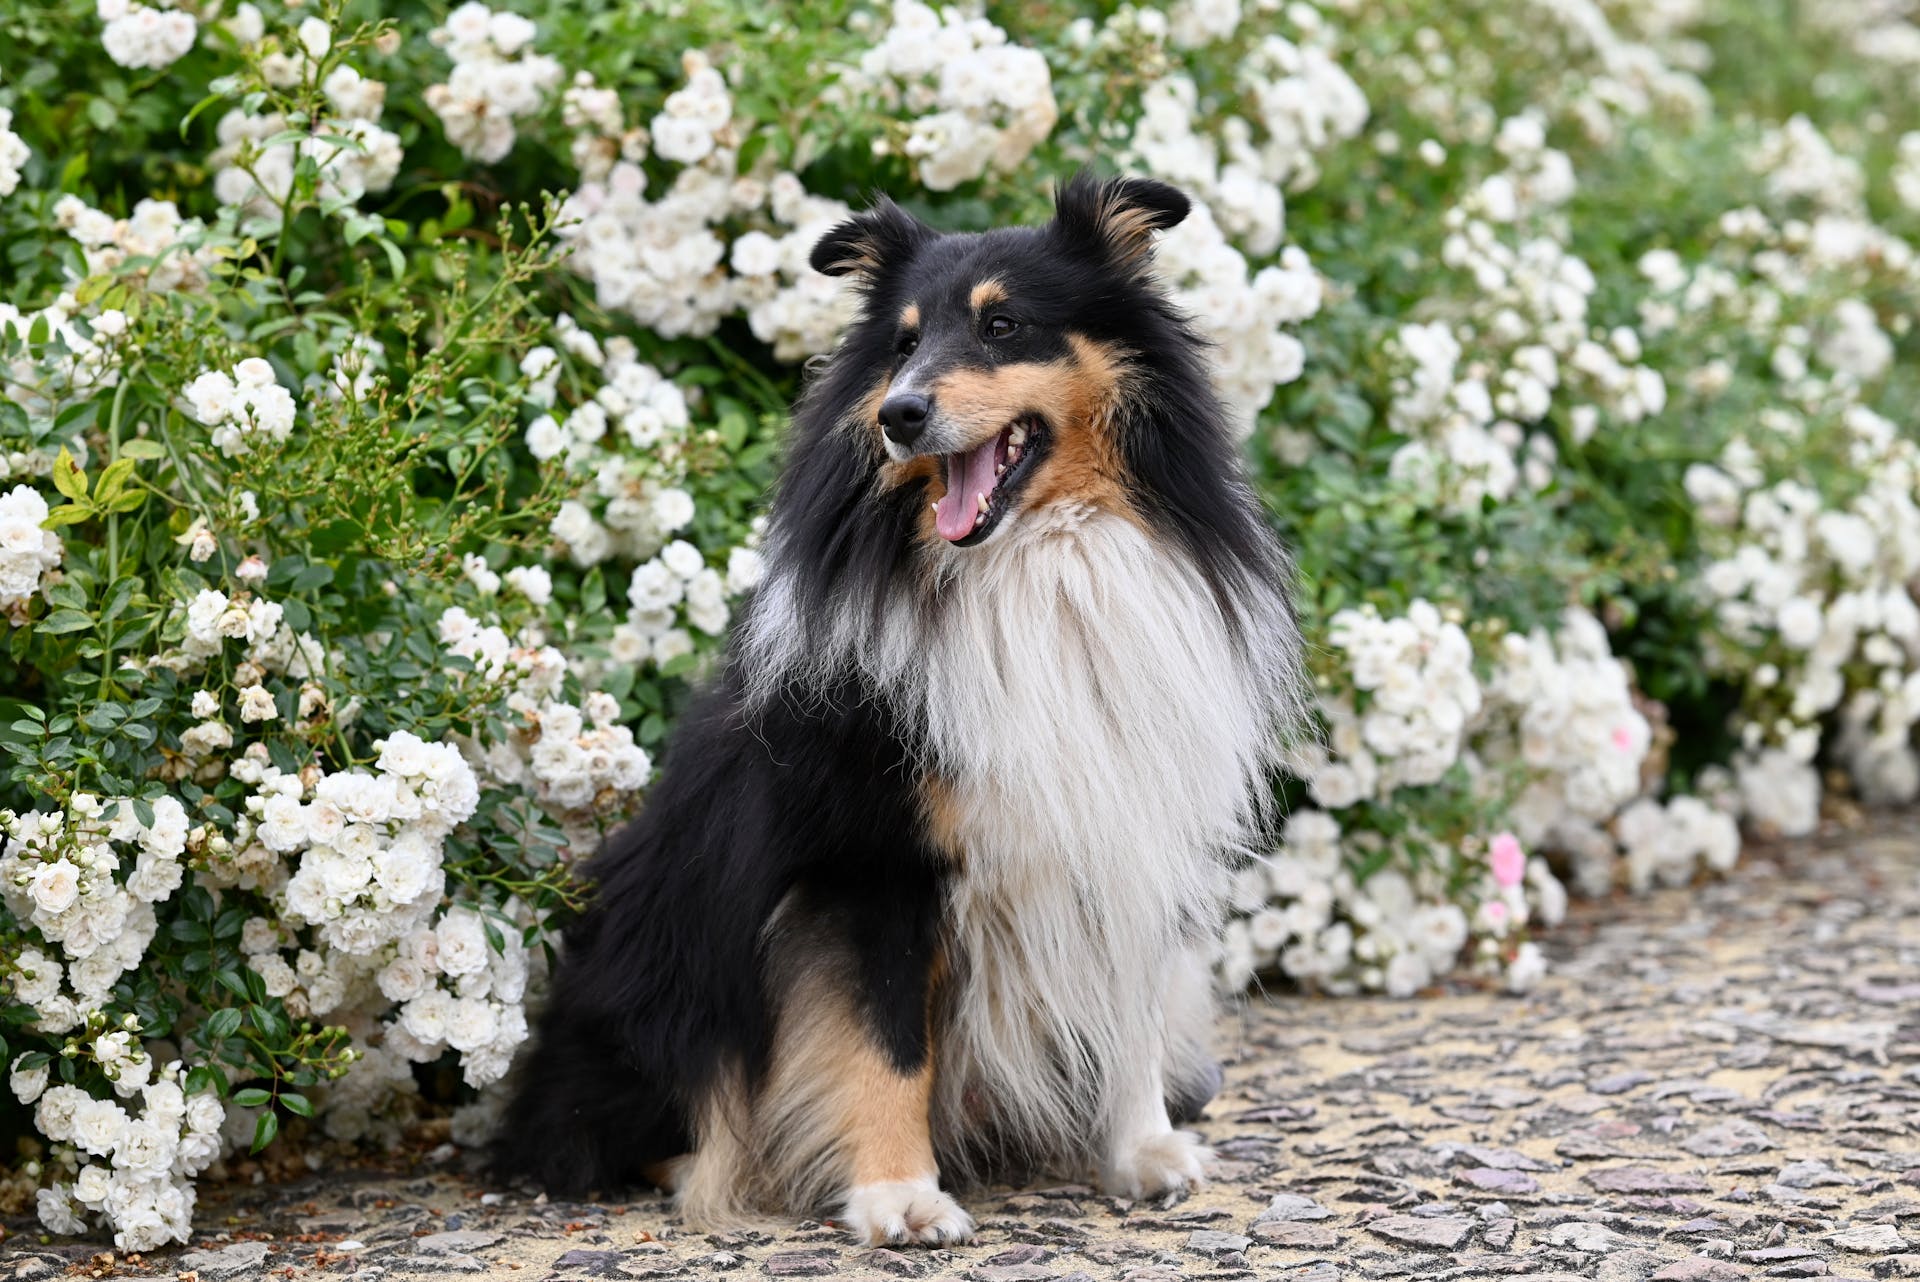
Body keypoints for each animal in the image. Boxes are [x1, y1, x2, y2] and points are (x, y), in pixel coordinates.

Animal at [491, 175, 1305, 1243]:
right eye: (904, 342)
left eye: (1002, 325)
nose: (900, 414)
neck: (1032, 565)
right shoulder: (870, 861)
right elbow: (884, 1042)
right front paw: (899, 1199)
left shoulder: (1124, 826)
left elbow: (1126, 1006)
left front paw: (1142, 1153)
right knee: (611, 1129)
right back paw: (722, 1167)